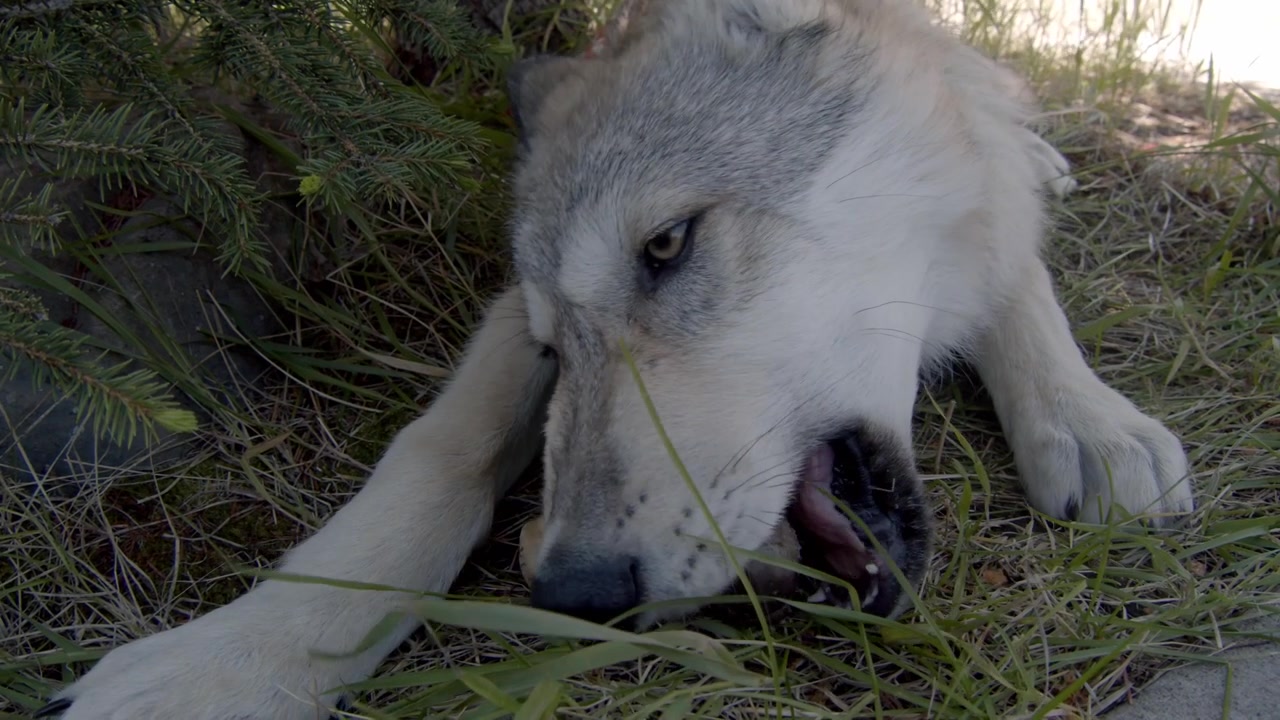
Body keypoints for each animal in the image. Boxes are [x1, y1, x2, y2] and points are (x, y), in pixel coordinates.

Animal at [41, 1, 1194, 718]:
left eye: (667, 245)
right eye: (554, 348)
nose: (577, 595)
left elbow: (1009, 249)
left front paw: (1089, 418)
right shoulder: (503, 326)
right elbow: (434, 458)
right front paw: (235, 660)